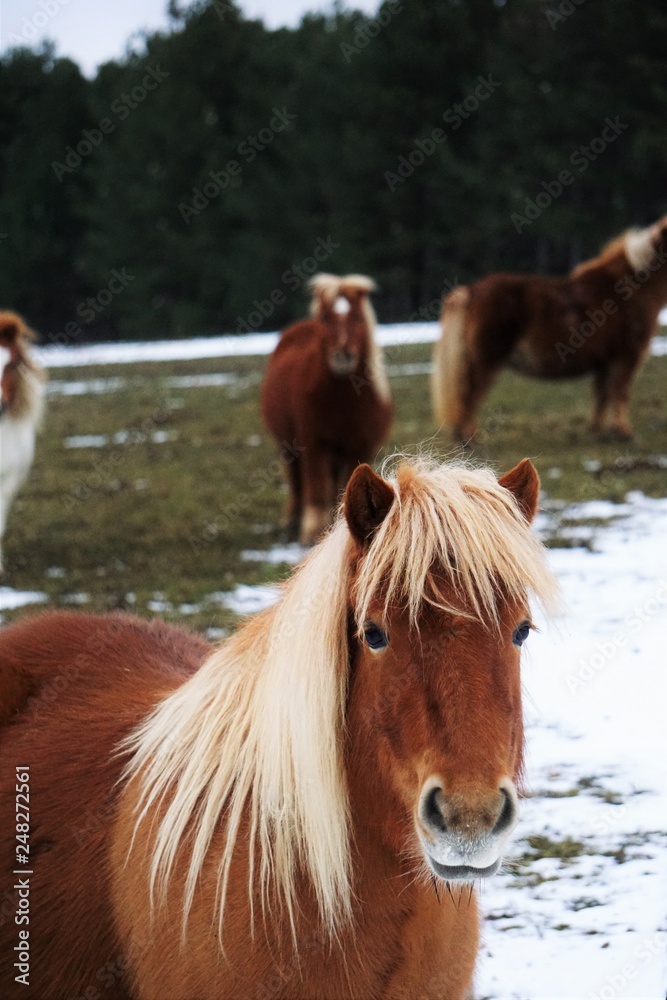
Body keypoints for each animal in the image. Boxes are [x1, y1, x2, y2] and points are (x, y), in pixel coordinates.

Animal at [261, 273, 393, 544]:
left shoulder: (358, 447)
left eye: (357, 317)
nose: (342, 355)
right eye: (325, 318)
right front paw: (311, 533)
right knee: (297, 482)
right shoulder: (313, 443)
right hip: (290, 447)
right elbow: (316, 487)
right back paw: (292, 521)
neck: (343, 400)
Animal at [432, 215, 667, 443]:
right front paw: (624, 433)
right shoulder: (626, 357)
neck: (626, 290)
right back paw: (469, 440)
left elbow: (601, 396)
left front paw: (597, 432)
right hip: (486, 362)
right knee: (469, 397)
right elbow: (620, 393)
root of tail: (471, 291)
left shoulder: (604, 363)